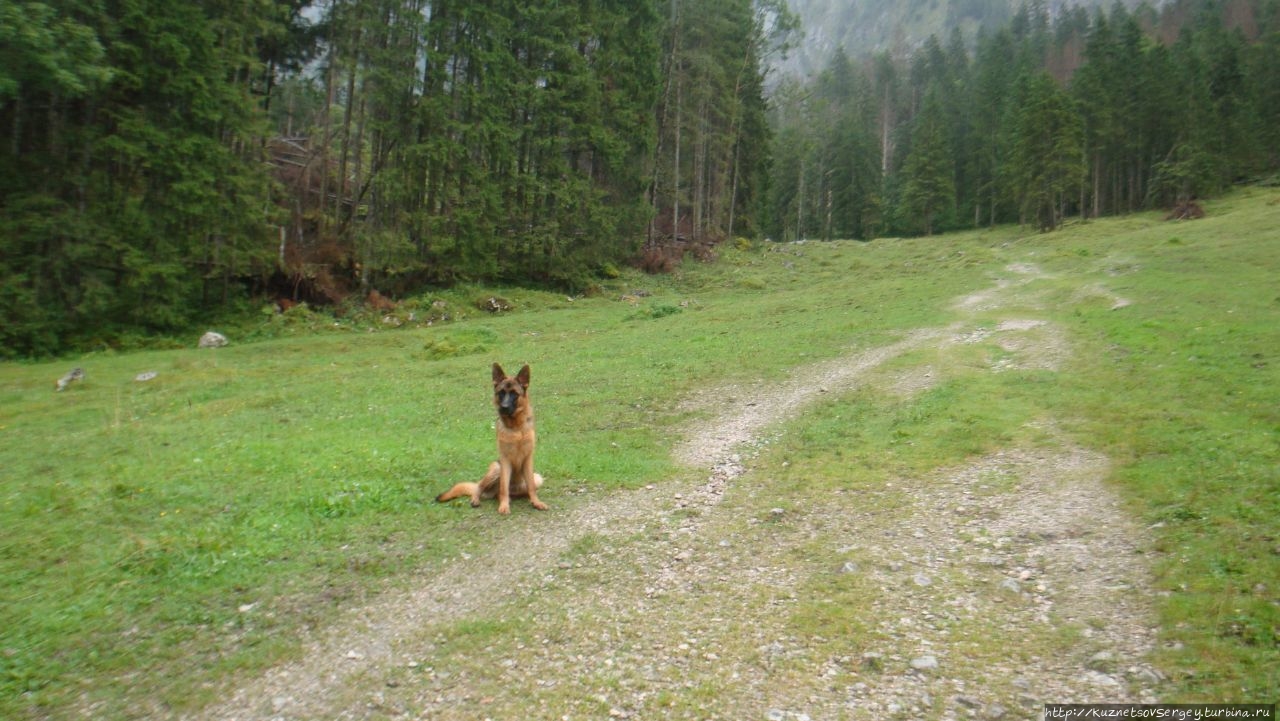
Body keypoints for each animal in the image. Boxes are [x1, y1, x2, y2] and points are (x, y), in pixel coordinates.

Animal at [435, 366, 545, 512]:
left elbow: (531, 487)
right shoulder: (504, 460)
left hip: (537, 477)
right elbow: (504, 486)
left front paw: (536, 502)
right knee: (481, 488)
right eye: (501, 393)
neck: (516, 428)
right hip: (496, 469)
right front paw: (504, 506)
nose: (503, 407)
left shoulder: (528, 459)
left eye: (514, 394)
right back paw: (477, 499)